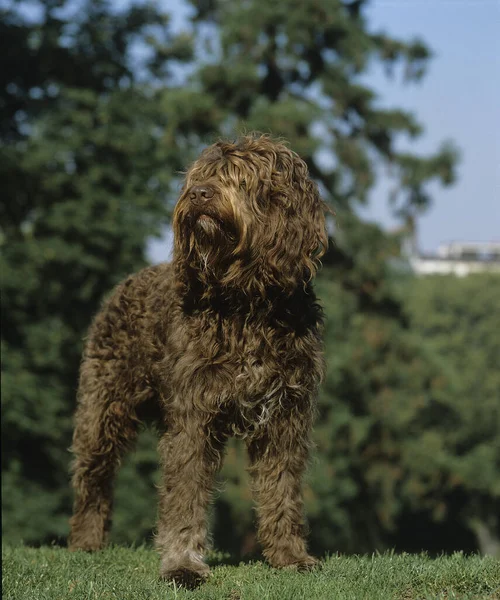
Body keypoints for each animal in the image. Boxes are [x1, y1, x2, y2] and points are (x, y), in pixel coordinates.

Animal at [69, 134, 328, 588]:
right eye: (198, 177)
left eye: (241, 178)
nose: (199, 194)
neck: (246, 305)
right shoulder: (193, 415)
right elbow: (186, 492)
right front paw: (182, 564)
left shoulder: (286, 417)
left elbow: (282, 488)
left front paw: (290, 556)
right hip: (104, 407)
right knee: (93, 477)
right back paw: (85, 540)